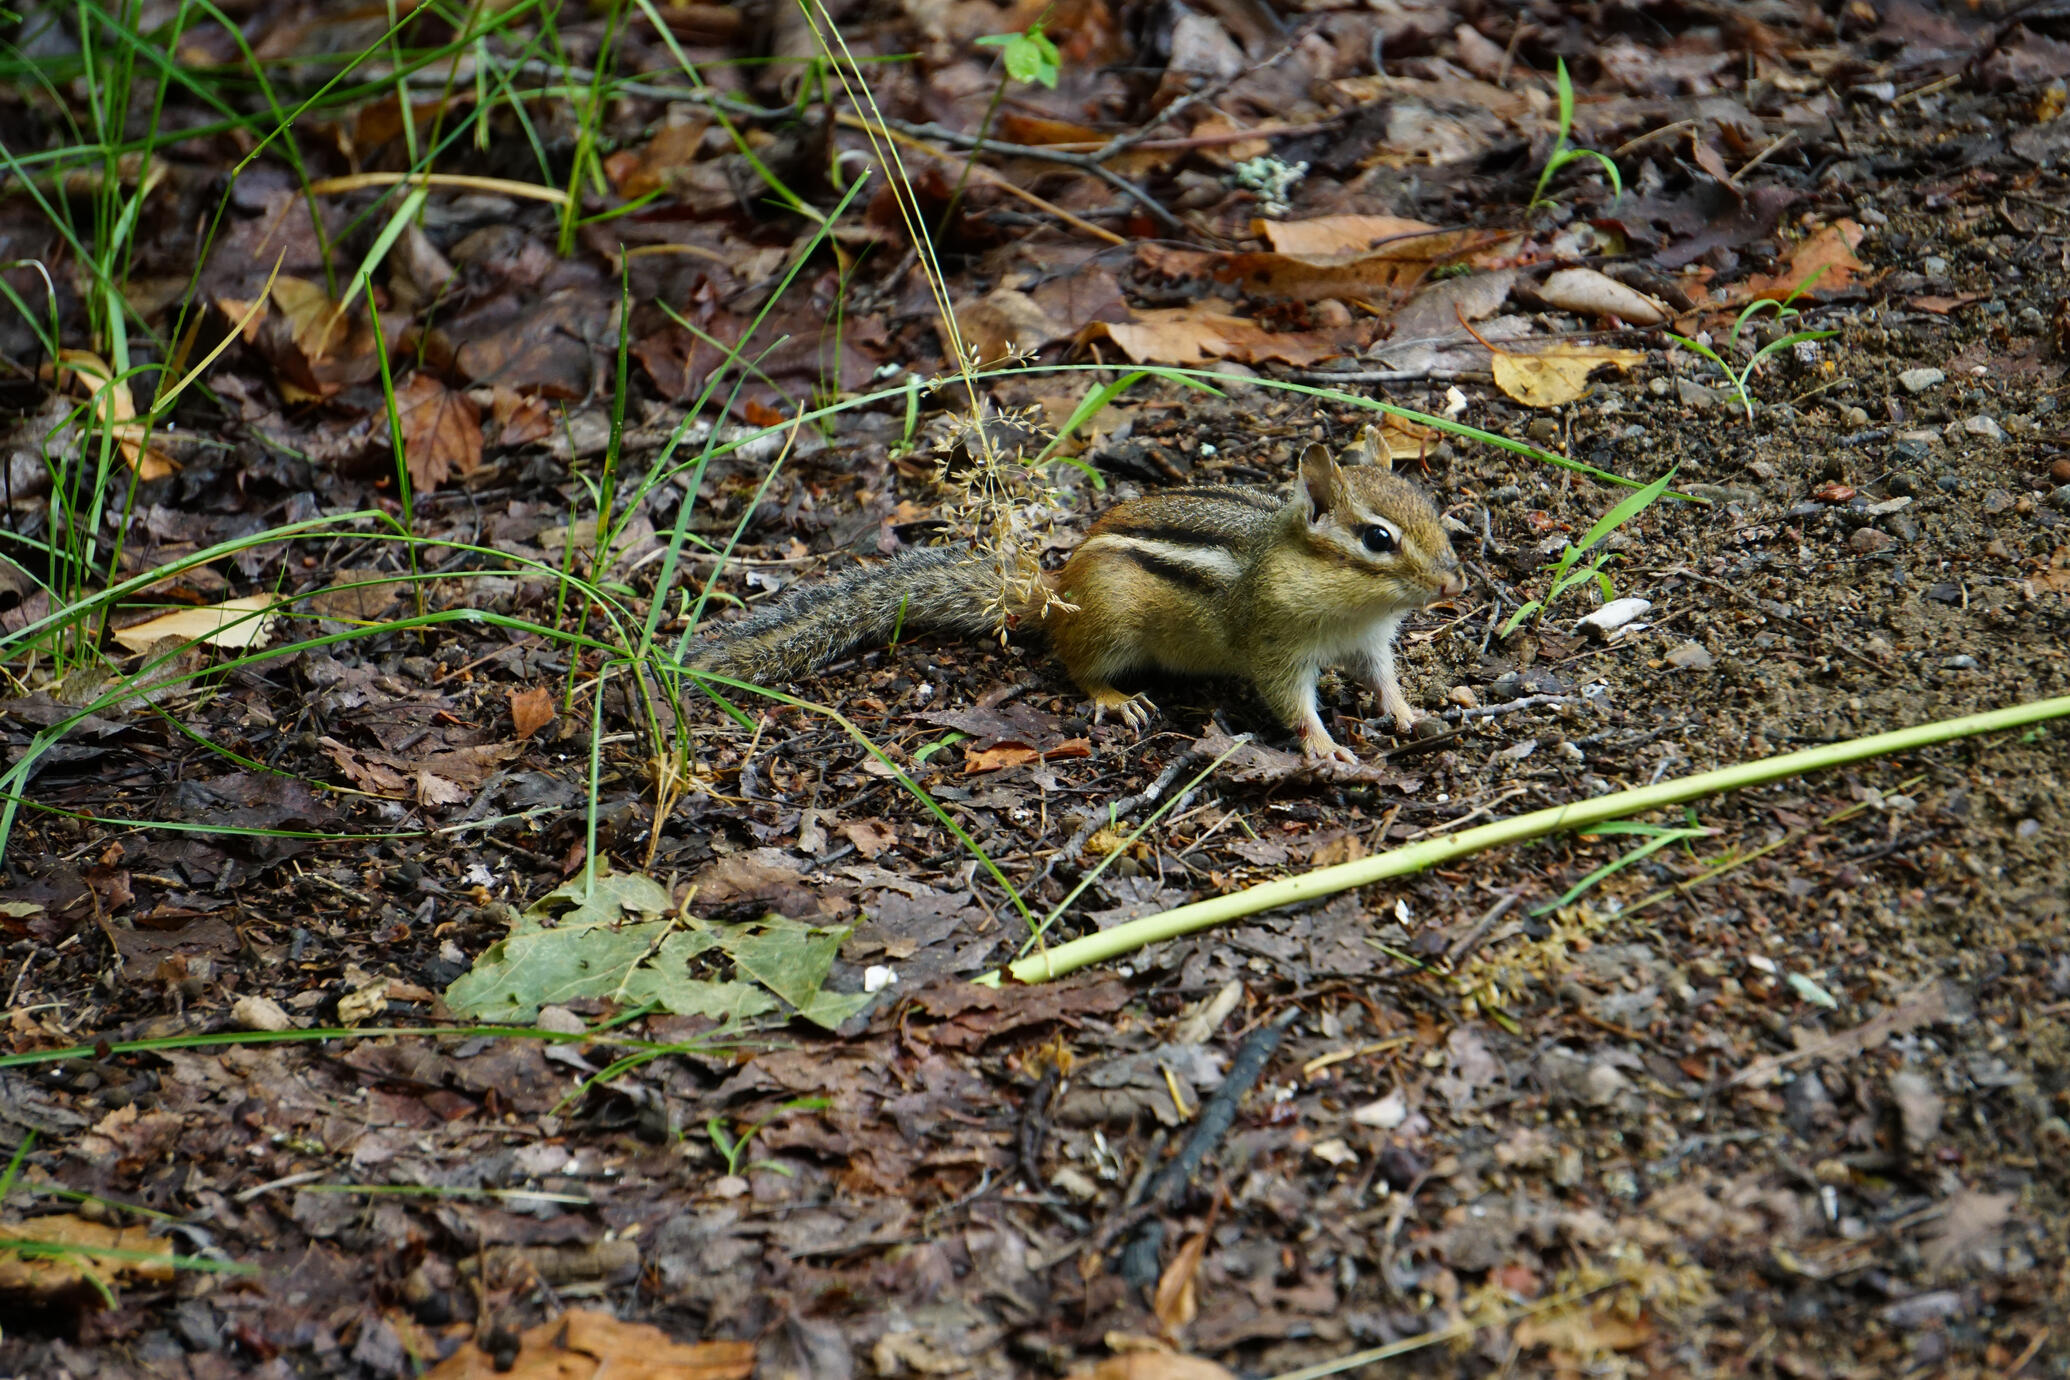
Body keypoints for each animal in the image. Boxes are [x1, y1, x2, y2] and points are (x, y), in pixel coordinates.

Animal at [690, 426, 1465, 763]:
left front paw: (1407, 712)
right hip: (1111, 627)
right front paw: (1325, 745)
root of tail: (1056, 594)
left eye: (1433, 509)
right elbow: (1290, 702)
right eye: (1378, 539)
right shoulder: (1275, 644)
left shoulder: (1369, 642)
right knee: (1075, 666)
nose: (1454, 581)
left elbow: (1383, 677)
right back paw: (1117, 700)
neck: (1349, 605)